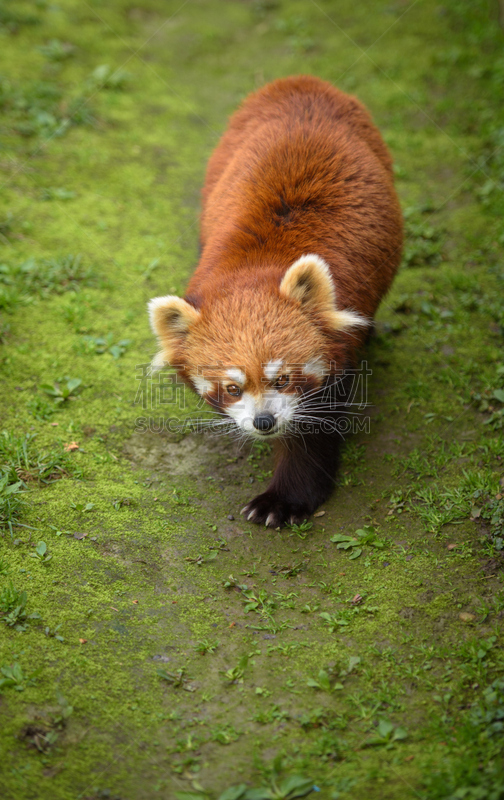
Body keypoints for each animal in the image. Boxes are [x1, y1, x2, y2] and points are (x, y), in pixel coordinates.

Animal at [148, 73, 404, 524]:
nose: (263, 422)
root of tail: (302, 81)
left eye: (282, 379)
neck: (257, 268)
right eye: (232, 388)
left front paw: (285, 500)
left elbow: (314, 428)